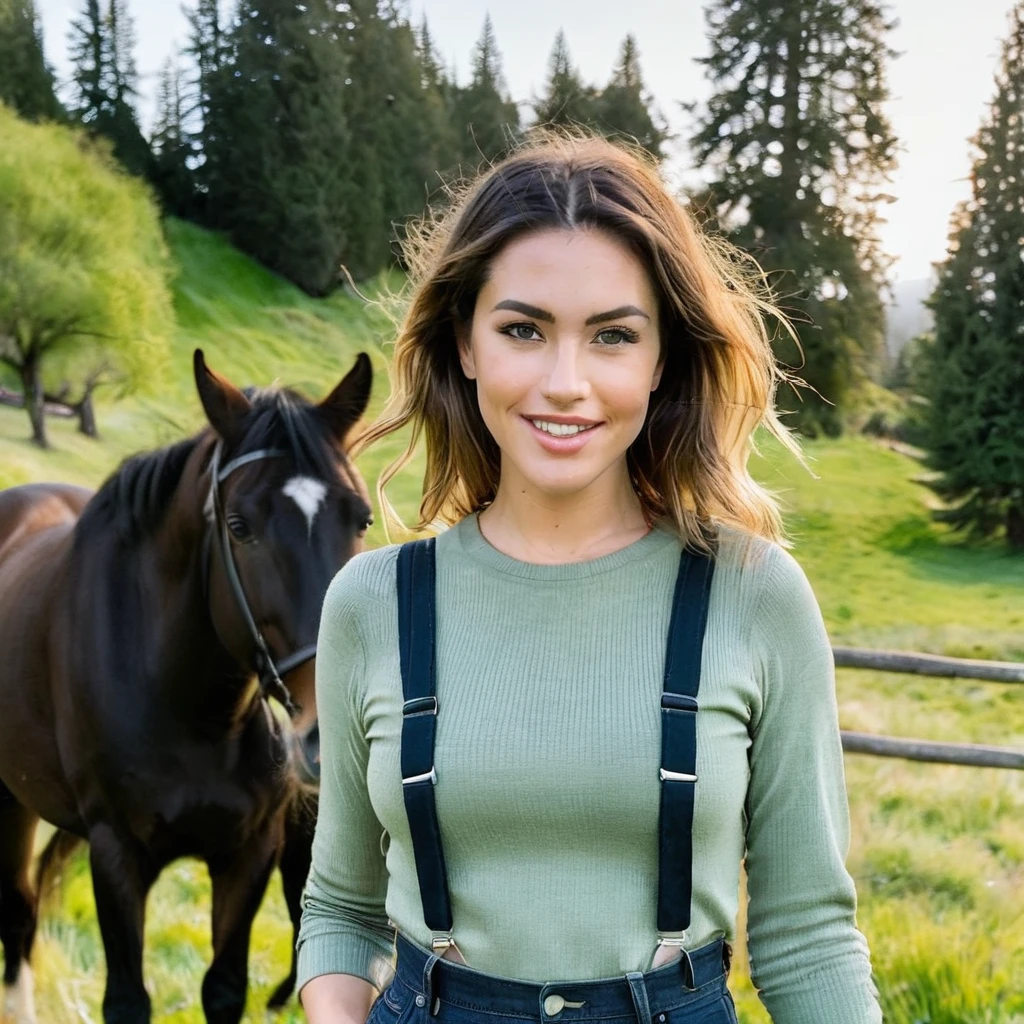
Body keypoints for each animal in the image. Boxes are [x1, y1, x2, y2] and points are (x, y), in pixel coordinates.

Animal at [0, 348, 374, 1019]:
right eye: (239, 526)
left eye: (360, 518)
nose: (330, 736)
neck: (190, 711)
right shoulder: (117, 855)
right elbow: (127, 999)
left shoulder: (249, 854)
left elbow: (224, 988)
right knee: (17, 914)